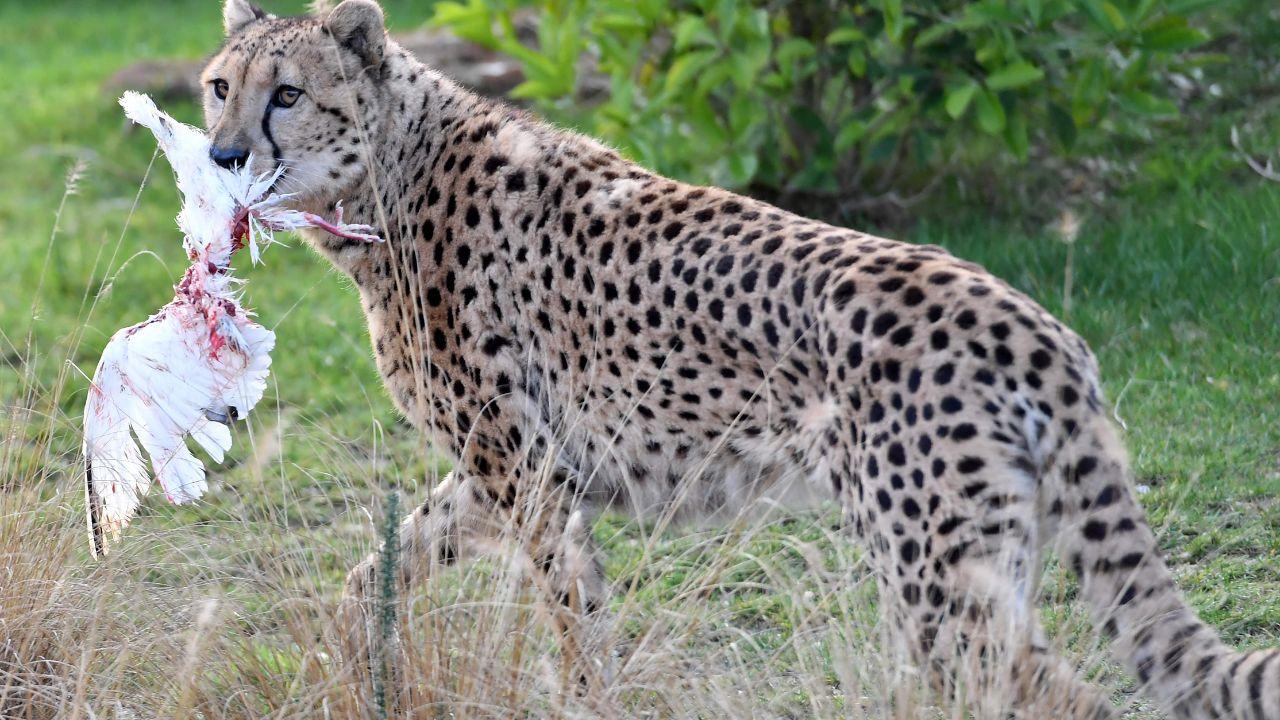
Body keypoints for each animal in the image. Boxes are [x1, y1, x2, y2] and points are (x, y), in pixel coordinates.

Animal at [200, 0, 1279, 716]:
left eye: (287, 94)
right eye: (220, 87)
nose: (220, 155)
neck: (390, 173)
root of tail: (1027, 319)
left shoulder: (528, 472)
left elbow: (574, 618)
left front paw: (584, 698)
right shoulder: (520, 466)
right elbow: (382, 568)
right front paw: (351, 659)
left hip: (937, 571)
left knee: (1051, 691)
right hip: (972, 559)